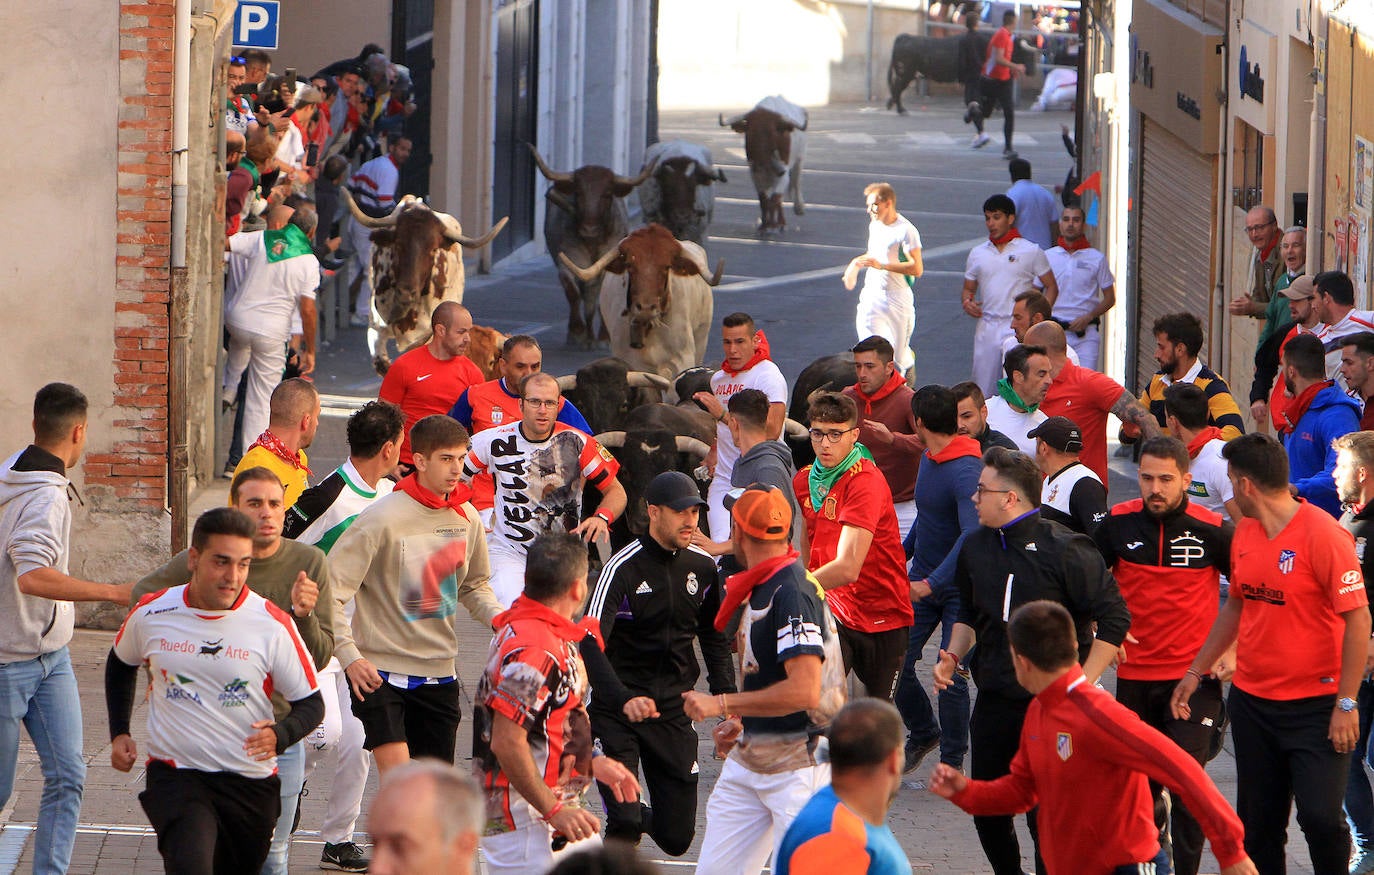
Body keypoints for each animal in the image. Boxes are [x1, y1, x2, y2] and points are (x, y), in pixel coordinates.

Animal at [343, 189, 511, 373]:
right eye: (399, 244)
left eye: (432, 249)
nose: (406, 293)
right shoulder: (376, 328)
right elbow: (384, 365)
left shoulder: (426, 336)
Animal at [719, 96, 802, 233]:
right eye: (751, 133)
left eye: (772, 133)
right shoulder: (755, 174)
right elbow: (763, 200)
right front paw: (764, 225)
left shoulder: (783, 173)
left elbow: (775, 198)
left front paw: (773, 225)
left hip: (799, 160)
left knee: (793, 183)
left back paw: (790, 215)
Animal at [884, 31, 1033, 115]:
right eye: (1025, 53)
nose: (1032, 71)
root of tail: (905, 37)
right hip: (906, 73)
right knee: (897, 88)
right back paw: (901, 109)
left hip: (906, 74)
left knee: (896, 88)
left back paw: (892, 105)